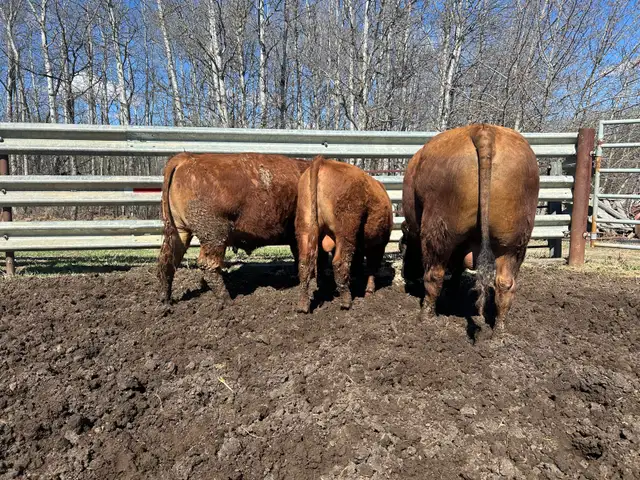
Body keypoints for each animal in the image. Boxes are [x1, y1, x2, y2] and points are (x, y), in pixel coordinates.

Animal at [158, 152, 310, 303]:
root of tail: (187, 158)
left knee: (168, 260)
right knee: (208, 264)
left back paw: (166, 300)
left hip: (179, 231)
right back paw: (227, 299)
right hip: (214, 235)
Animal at [296, 156, 393, 313]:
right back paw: (346, 302)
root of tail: (323, 161)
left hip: (305, 226)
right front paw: (369, 290)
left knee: (304, 263)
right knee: (340, 262)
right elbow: (372, 266)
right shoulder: (379, 244)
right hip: (346, 230)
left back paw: (303, 305)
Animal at [401, 124, 540, 334]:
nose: (405, 274)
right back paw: (499, 331)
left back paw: (425, 316)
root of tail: (482, 130)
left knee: (434, 275)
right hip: (513, 244)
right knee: (505, 284)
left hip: (438, 232)